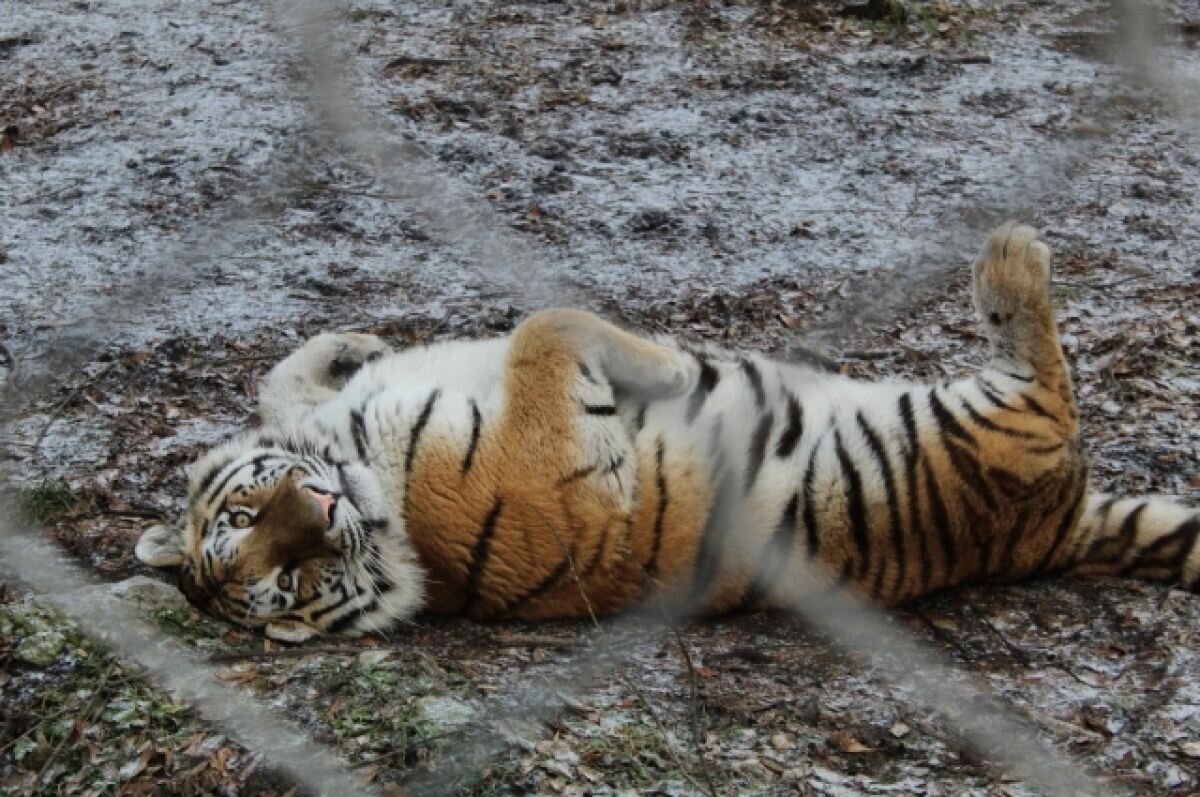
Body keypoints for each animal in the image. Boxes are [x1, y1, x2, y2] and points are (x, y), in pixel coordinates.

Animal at [136, 222, 1200, 643]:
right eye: (287, 581)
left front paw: (351, 343)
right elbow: (544, 326)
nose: (321, 508)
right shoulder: (557, 465)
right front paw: (676, 368)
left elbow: (280, 380)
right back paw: (1012, 256)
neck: (364, 466)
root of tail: (1051, 533)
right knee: (1050, 391)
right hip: (982, 429)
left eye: (250, 514)